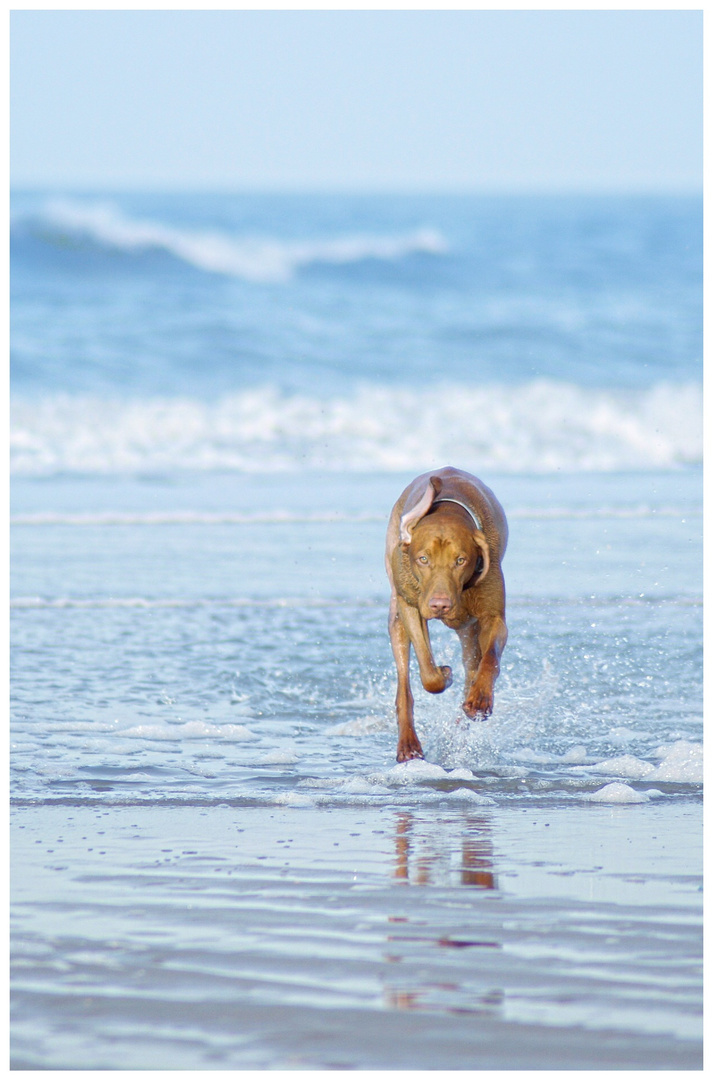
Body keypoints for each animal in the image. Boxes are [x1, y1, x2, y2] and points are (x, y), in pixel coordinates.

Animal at [384, 464, 507, 760]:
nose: (440, 605)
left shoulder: (493, 617)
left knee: (474, 663)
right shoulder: (411, 606)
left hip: (469, 630)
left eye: (460, 560)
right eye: (423, 559)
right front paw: (444, 674)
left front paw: (480, 699)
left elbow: (491, 658)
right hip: (396, 615)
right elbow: (429, 673)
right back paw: (408, 744)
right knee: (404, 685)